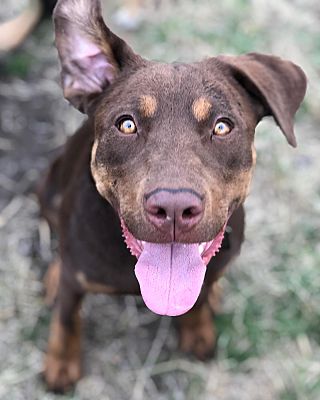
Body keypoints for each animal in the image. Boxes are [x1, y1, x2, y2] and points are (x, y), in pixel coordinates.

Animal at [38, 0, 308, 392]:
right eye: (127, 124)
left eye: (222, 127)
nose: (175, 208)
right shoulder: (77, 279)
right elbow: (67, 317)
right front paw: (61, 363)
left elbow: (198, 301)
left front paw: (198, 329)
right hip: (48, 189)